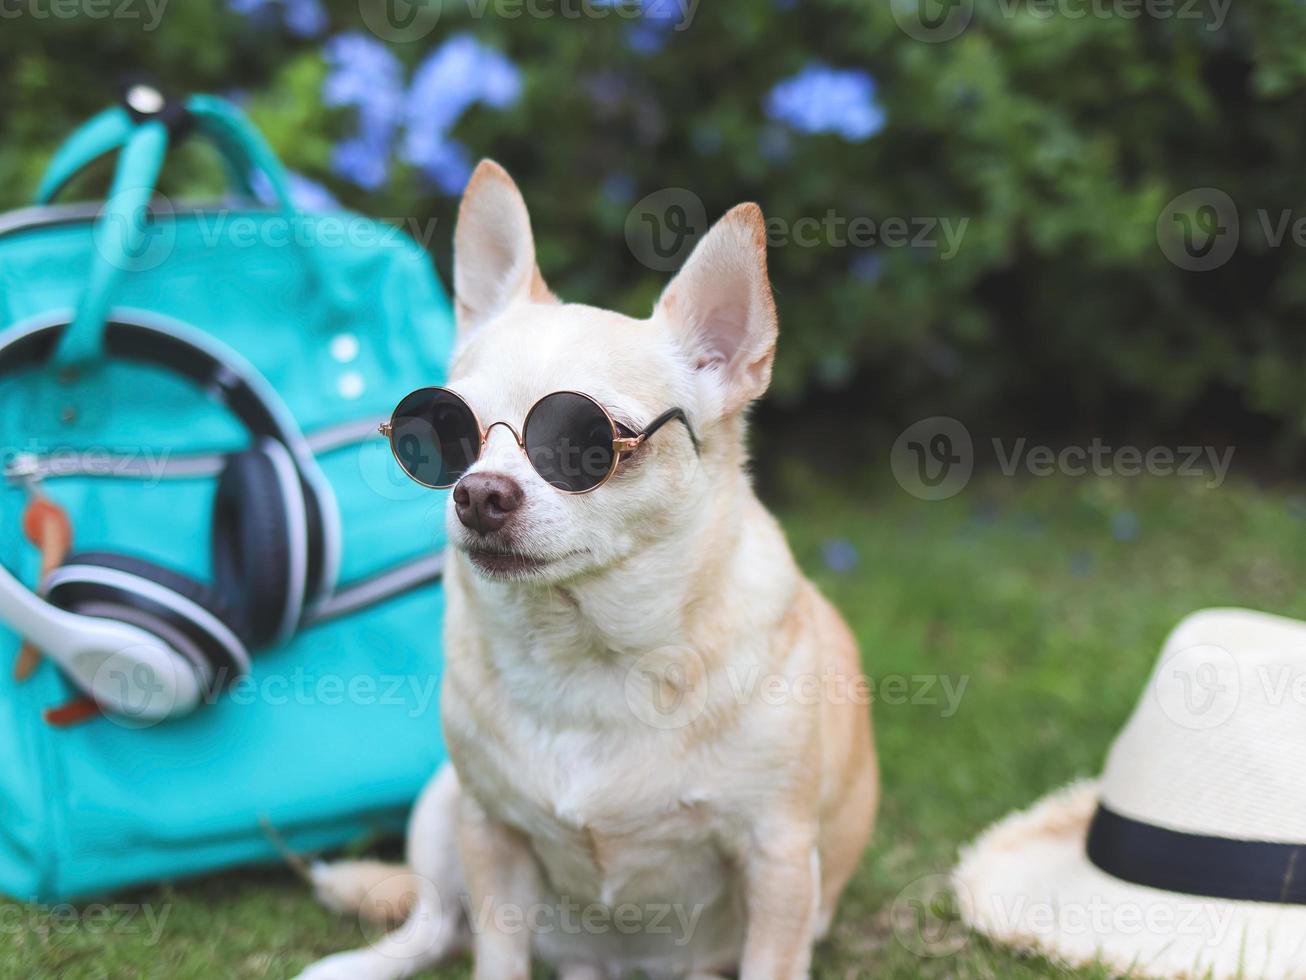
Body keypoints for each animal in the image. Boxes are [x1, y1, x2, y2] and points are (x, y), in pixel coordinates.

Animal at [291, 161, 872, 980]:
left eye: (589, 441)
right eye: (438, 433)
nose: (478, 493)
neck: (588, 652)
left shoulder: (780, 862)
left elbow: (770, 960)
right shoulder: (491, 833)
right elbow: (496, 958)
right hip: (443, 807)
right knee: (436, 921)